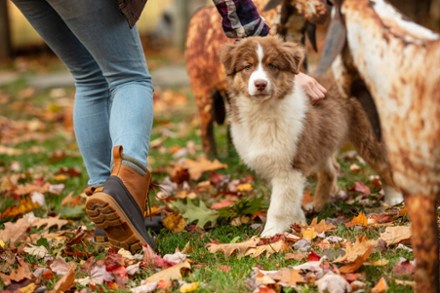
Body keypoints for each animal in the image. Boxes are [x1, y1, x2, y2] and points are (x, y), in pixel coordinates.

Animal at [220, 36, 402, 237]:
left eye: (273, 66)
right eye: (247, 67)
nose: (260, 84)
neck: (262, 112)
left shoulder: (290, 165)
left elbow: (279, 205)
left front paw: (272, 233)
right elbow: (290, 199)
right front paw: (298, 222)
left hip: (367, 135)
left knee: (384, 165)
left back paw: (394, 199)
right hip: (321, 141)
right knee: (330, 172)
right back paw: (318, 205)